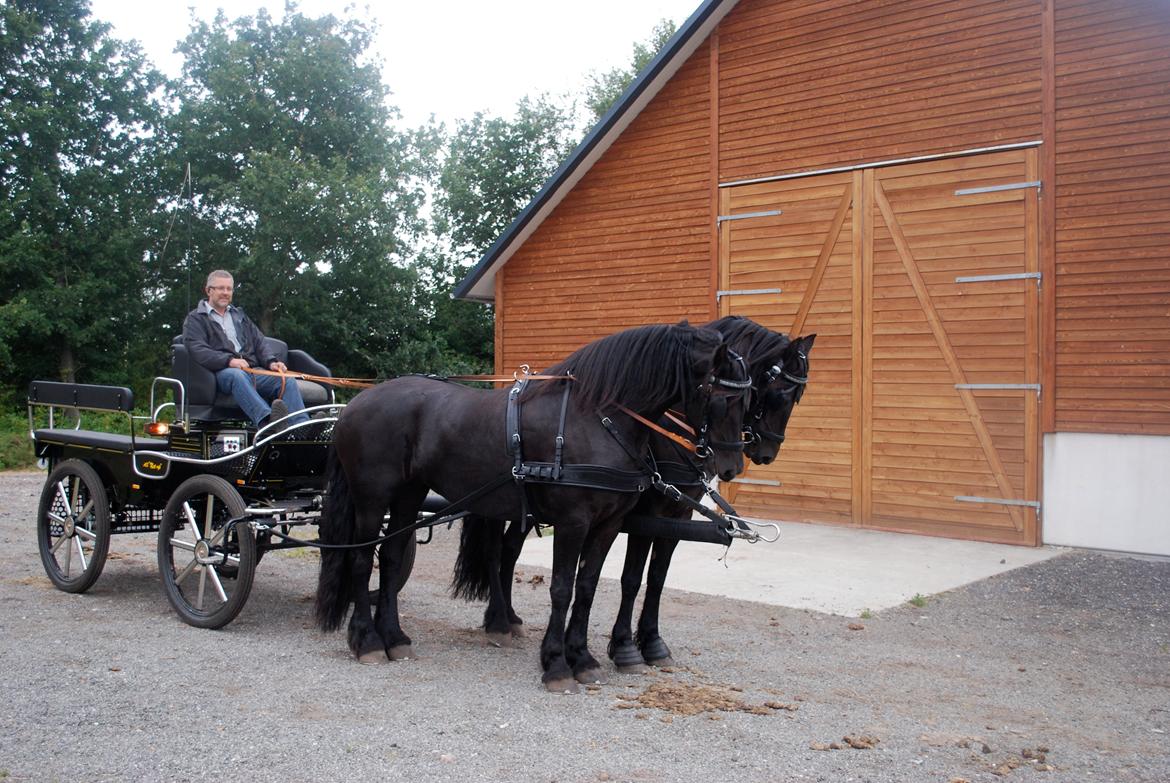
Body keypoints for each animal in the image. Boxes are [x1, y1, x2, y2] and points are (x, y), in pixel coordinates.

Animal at [315, 320, 744, 688]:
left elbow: (587, 587)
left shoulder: (608, 524)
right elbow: (562, 589)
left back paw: (394, 638)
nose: (731, 466)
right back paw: (367, 641)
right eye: (724, 397)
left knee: (389, 558)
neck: (597, 418)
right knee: (361, 559)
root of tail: (356, 404)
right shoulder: (573, 522)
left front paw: (582, 658)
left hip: (408, 495)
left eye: (748, 396)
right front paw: (556, 664)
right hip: (372, 498)